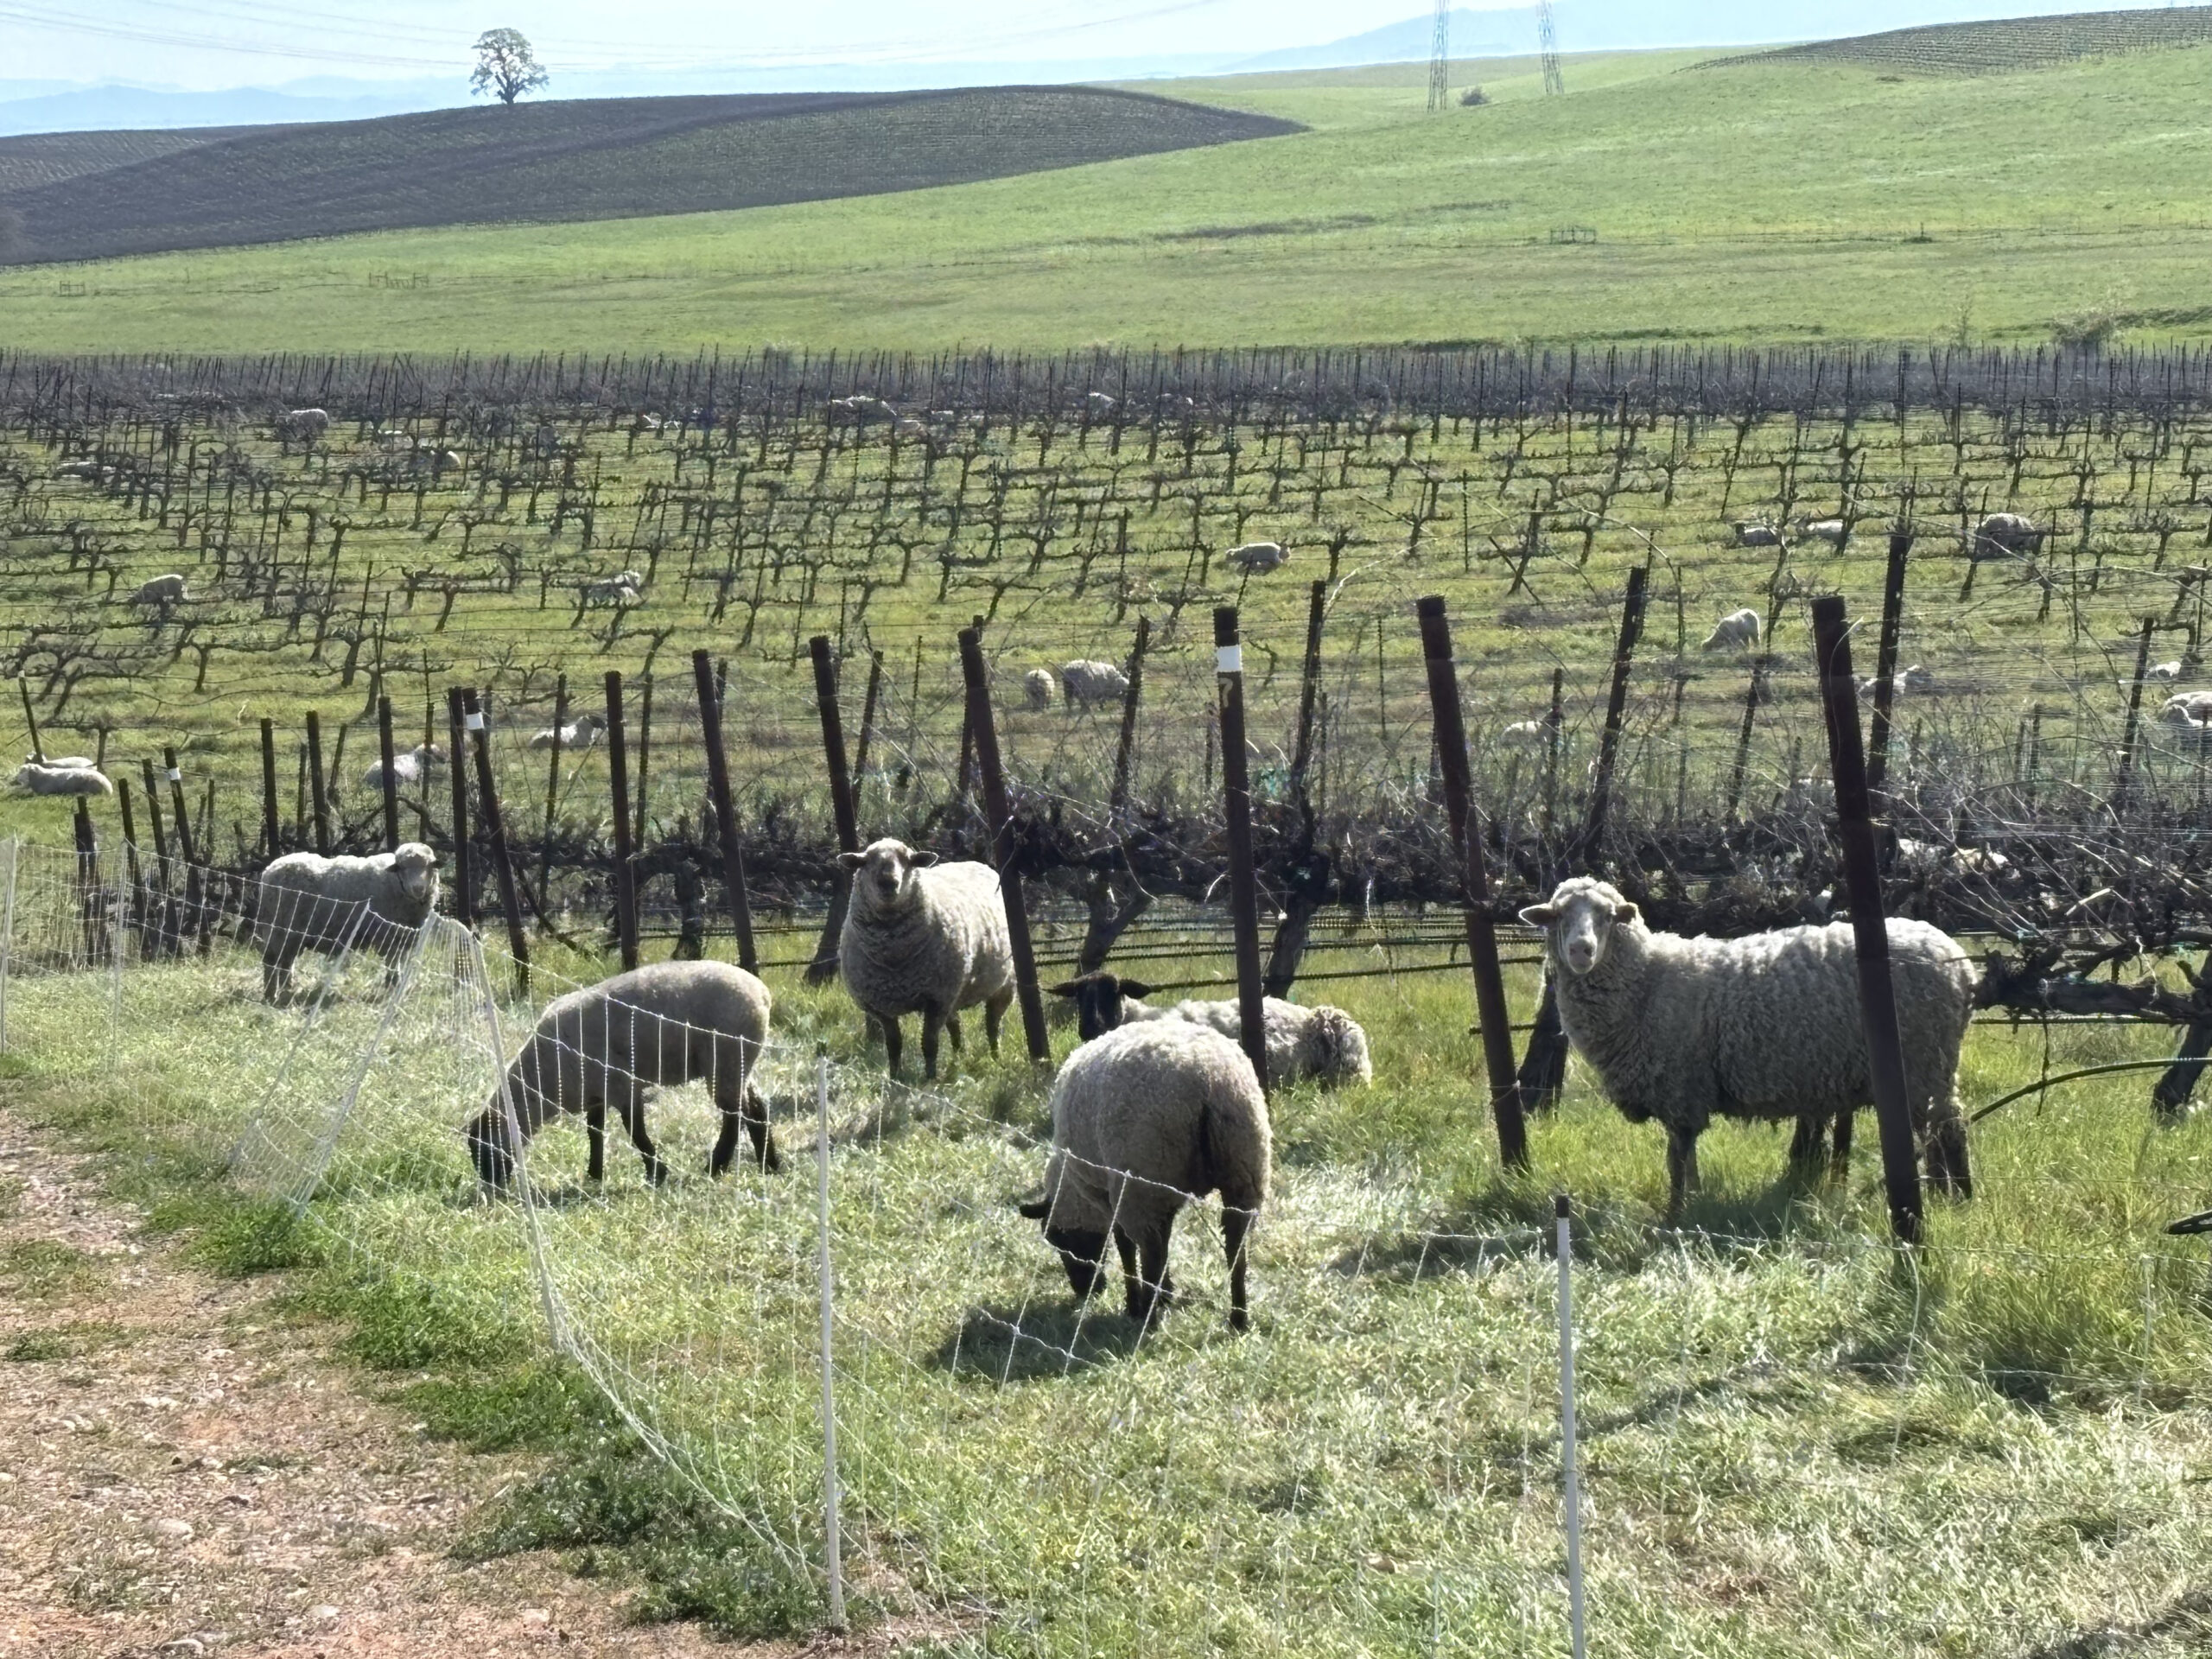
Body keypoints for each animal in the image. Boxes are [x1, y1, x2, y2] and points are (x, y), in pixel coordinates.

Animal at [254, 843, 440, 1004]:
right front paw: (393, 989)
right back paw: (271, 996)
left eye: (430, 866)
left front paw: (397, 988)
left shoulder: (402, 936)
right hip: (280, 927)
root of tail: (268, 871)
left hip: (293, 932)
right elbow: (393, 965)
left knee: (286, 961)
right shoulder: (389, 936)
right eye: (402, 868)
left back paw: (288, 989)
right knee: (271, 960)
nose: (418, 888)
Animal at [463, 961, 779, 1190]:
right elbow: (594, 1131)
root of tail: (762, 993)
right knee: (756, 1108)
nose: (491, 1187)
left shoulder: (621, 1086)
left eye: (483, 1146)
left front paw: (656, 1172)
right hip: (738, 1064)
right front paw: (594, 1172)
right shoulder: (596, 1092)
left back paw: (716, 1167)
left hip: (724, 1058)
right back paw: (770, 1165)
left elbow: (635, 1131)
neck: (541, 1080)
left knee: (735, 1115)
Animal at [837, 837, 1013, 1081]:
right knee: (956, 1025)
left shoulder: (935, 999)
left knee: (993, 1025)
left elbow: (929, 1043)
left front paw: (930, 1078)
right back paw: (958, 1056)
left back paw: (996, 1058)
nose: (888, 883)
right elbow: (894, 1045)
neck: (894, 959)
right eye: (865, 862)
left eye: (908, 861)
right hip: (953, 990)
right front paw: (895, 1077)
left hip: (1003, 983)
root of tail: (978, 863)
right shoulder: (883, 1007)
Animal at [1018, 1019, 1270, 1332]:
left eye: (1058, 1239)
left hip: (1143, 1176)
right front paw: (1167, 1291)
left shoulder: (1114, 1191)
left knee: (1149, 1251)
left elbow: (1125, 1244)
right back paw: (1238, 1317)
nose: (1085, 1290)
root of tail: (1209, 1080)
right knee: (1236, 1246)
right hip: (1243, 1169)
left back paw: (1147, 1317)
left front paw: (1135, 1302)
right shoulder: (1164, 1193)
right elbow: (1166, 1237)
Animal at [1517, 876, 1974, 1222]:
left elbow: (1676, 1157)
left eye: (1608, 917)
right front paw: (1695, 1201)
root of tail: (1957, 959)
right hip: (1935, 1062)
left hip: (1922, 1058)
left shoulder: (1679, 1086)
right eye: (1558, 916)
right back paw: (1952, 1197)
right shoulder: (1682, 1091)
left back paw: (1953, 1200)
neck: (1645, 981)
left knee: (1946, 1130)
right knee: (1945, 1127)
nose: (1581, 950)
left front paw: (1676, 1211)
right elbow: (1686, 1156)